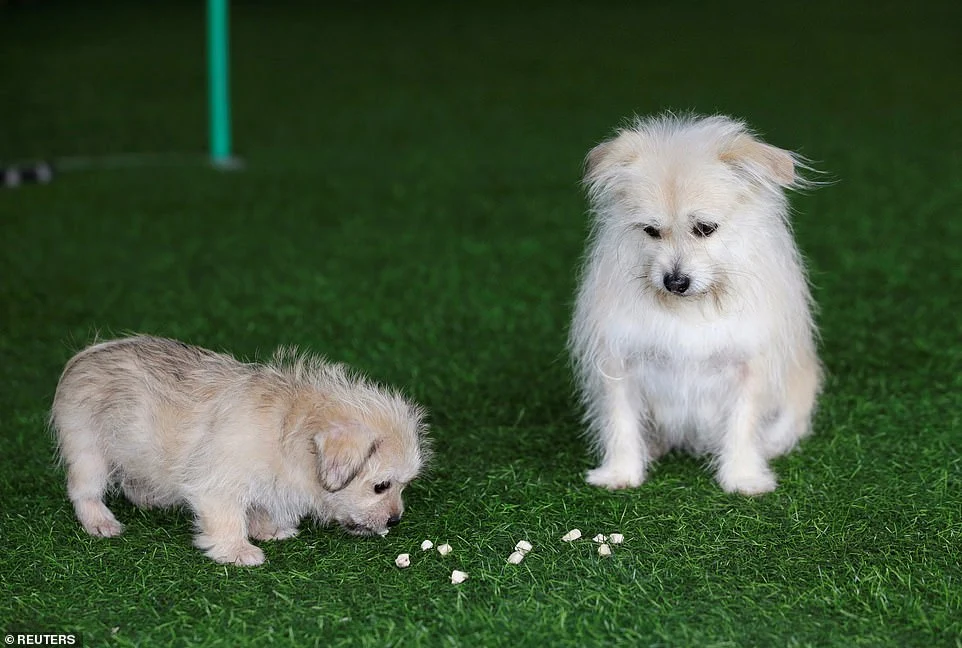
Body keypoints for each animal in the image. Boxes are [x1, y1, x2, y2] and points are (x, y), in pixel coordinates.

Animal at [50, 336, 430, 564]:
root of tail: (84, 357)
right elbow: (228, 520)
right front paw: (238, 550)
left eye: (403, 485)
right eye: (381, 486)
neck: (290, 428)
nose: (396, 520)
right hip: (88, 451)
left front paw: (269, 529)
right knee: (83, 491)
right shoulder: (217, 487)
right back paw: (100, 521)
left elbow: (260, 505)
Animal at [568, 112, 820, 496]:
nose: (675, 282)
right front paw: (620, 474)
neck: (691, 309)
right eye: (650, 230)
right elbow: (621, 424)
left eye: (705, 228)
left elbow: (743, 425)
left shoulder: (750, 369)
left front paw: (743, 478)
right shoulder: (619, 363)